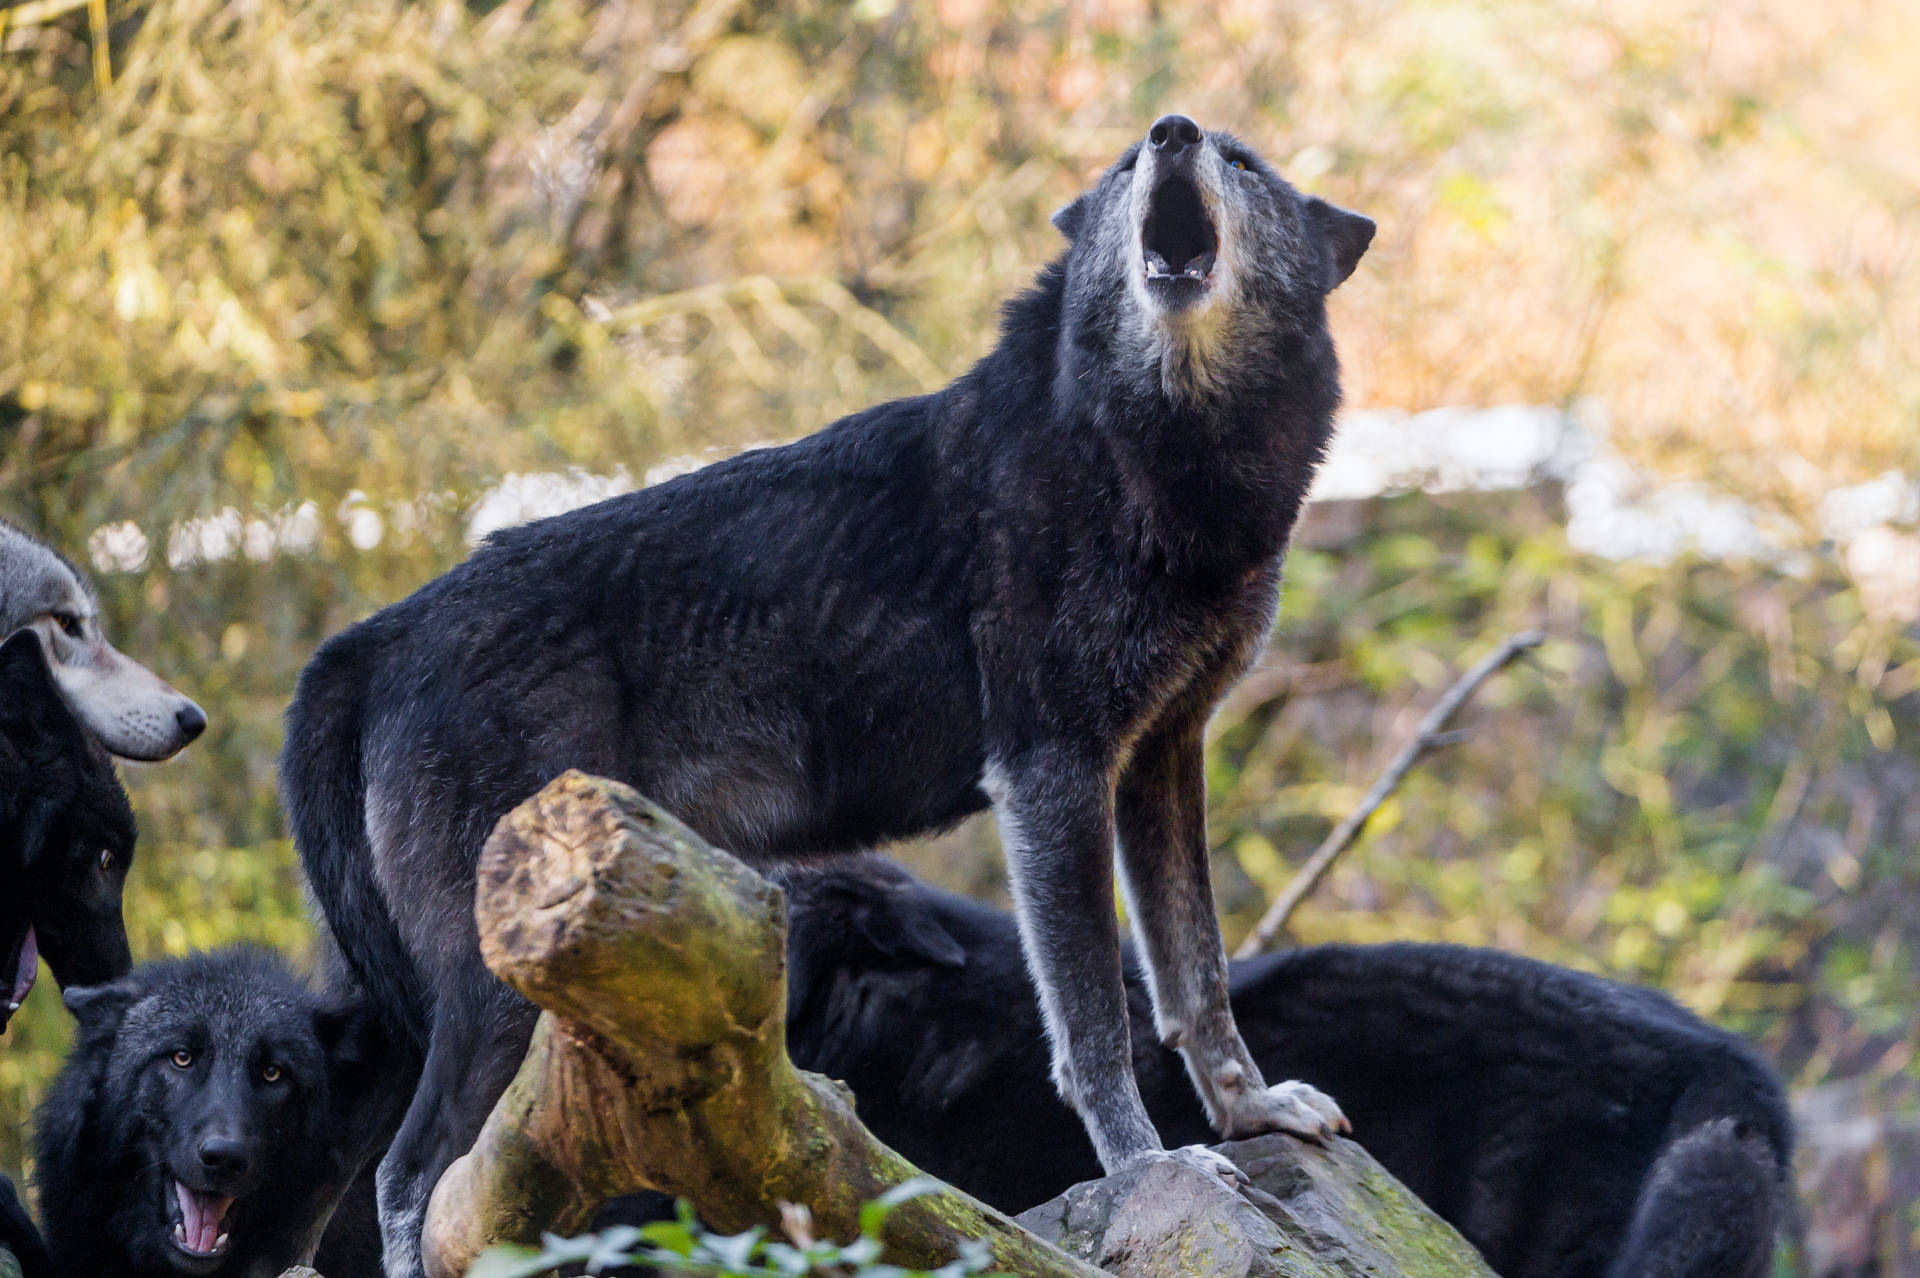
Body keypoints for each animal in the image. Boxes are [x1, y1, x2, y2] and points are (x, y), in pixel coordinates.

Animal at [278, 114, 1374, 1266]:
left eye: (1242, 162)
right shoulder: (1052, 775)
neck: (1149, 454)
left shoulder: (1161, 754)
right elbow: (1093, 1023)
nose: (1170, 132)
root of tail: (373, 637)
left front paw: (1253, 1111)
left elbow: (1196, 974)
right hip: (492, 991)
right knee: (412, 1174)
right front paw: (1150, 1170)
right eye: (1124, 169)